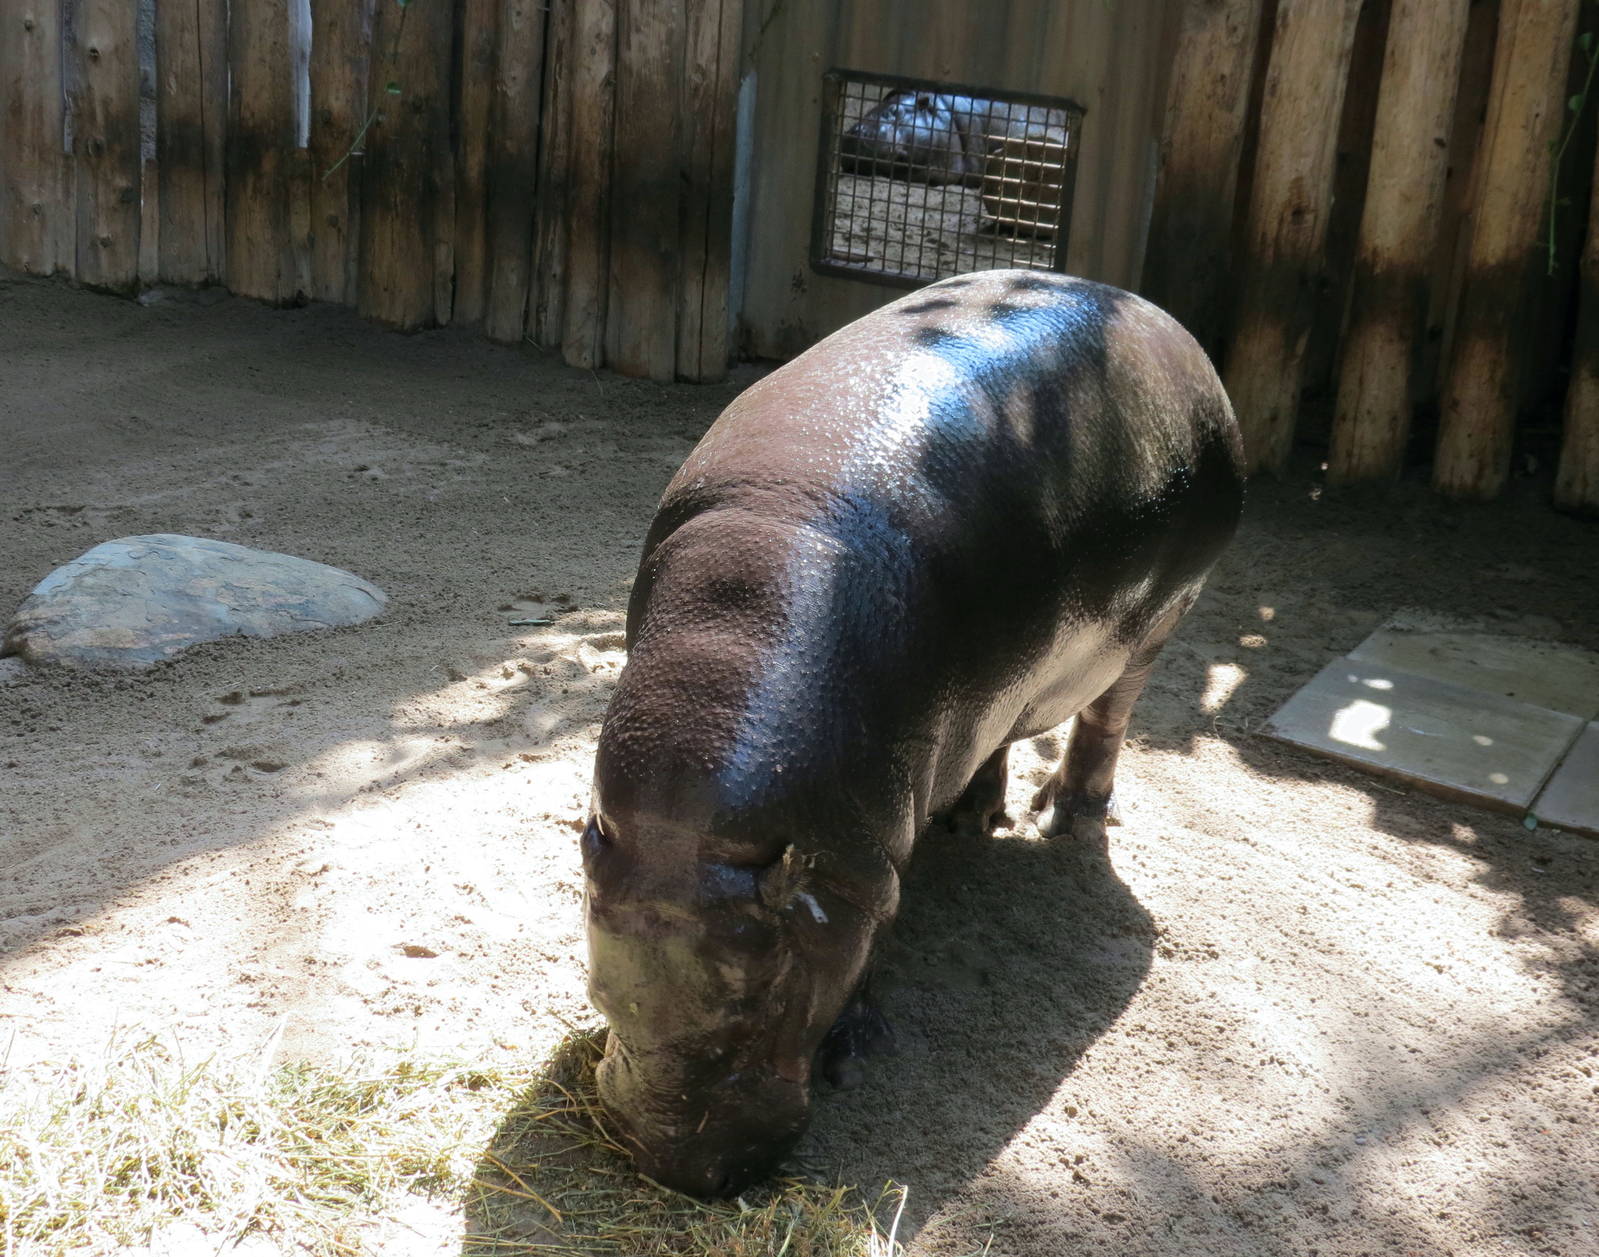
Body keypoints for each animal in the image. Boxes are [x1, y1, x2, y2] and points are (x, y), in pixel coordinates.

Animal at [581, 269, 1244, 1197]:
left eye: (766, 993)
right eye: (609, 985)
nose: (671, 1162)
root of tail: (1151, 311)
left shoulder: (862, 866)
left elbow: (872, 941)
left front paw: (856, 1048)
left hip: (1158, 625)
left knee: (1106, 722)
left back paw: (1068, 819)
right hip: (1007, 686)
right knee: (1000, 739)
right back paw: (976, 818)